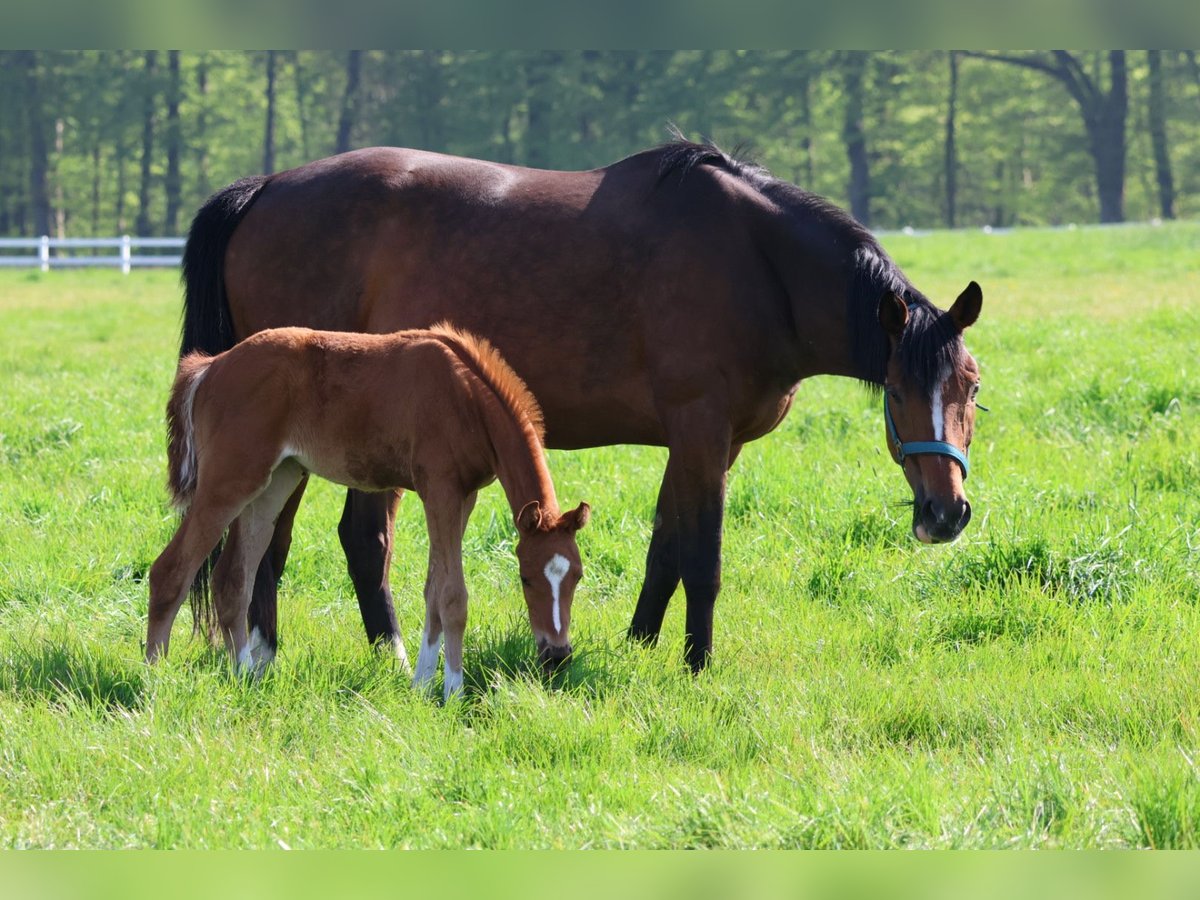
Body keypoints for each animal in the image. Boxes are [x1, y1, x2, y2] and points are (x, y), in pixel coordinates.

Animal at [147, 326, 588, 705]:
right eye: (525, 578)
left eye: (578, 577)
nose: (557, 655)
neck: (464, 395)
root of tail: (210, 367)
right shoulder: (440, 489)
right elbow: (452, 595)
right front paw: (453, 692)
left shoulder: (465, 496)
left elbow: (433, 588)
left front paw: (420, 686)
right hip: (230, 480)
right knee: (171, 570)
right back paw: (153, 677)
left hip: (276, 480)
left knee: (233, 579)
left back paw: (243, 677)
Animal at [180, 141, 984, 672]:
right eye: (898, 391)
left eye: (971, 387)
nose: (945, 515)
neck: (759, 265)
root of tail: (267, 187)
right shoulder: (702, 426)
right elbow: (704, 557)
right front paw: (698, 664)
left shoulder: (705, 442)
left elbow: (666, 548)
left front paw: (640, 645)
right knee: (289, 541)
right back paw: (293, 657)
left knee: (328, 539)